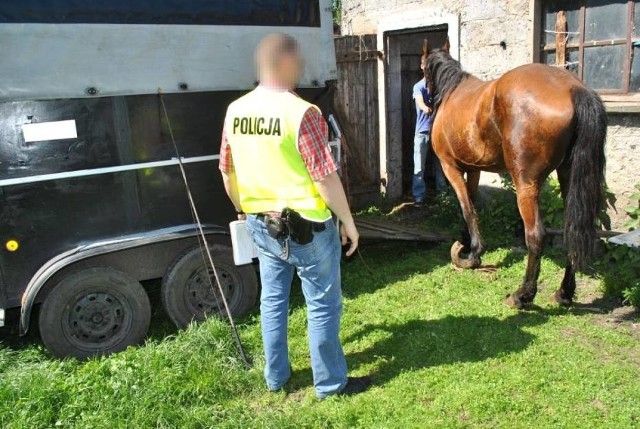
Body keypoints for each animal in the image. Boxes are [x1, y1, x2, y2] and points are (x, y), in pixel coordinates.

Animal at [422, 39, 608, 308]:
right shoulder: (474, 170)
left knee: (536, 236)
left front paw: (472, 254)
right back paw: (564, 293)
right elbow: (472, 205)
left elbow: (467, 208)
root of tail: (573, 89)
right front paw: (467, 244)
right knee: (572, 231)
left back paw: (522, 295)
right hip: (569, 178)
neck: (453, 92)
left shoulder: (451, 168)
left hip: (525, 185)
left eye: (423, 68)